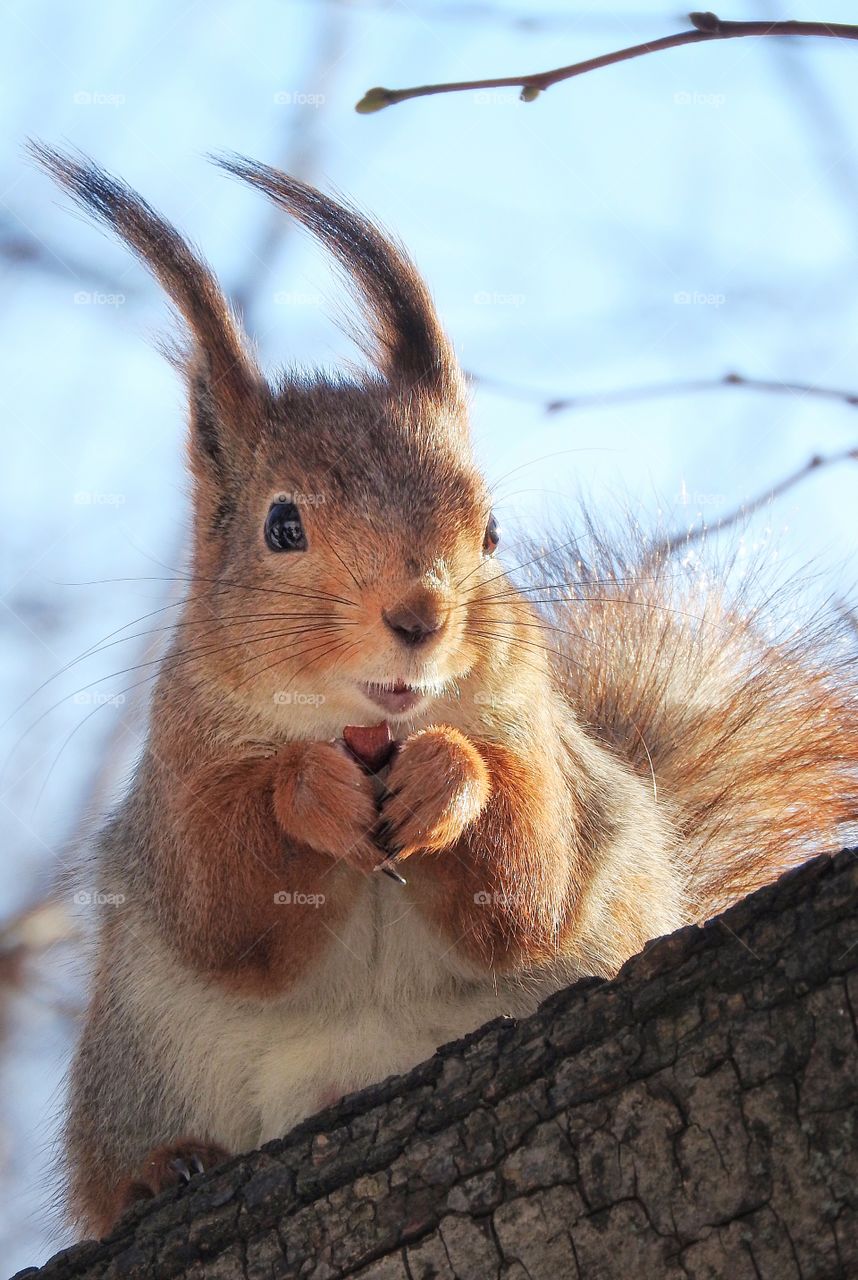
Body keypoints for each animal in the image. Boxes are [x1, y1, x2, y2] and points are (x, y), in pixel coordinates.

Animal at [28, 142, 858, 1239]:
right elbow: (226, 905)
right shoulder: (181, 771)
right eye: (282, 525)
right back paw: (164, 1171)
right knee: (124, 1159)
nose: (421, 617)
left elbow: (530, 880)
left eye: (492, 529)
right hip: (137, 1068)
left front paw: (447, 777)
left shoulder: (543, 741)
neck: (366, 725)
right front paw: (308, 790)